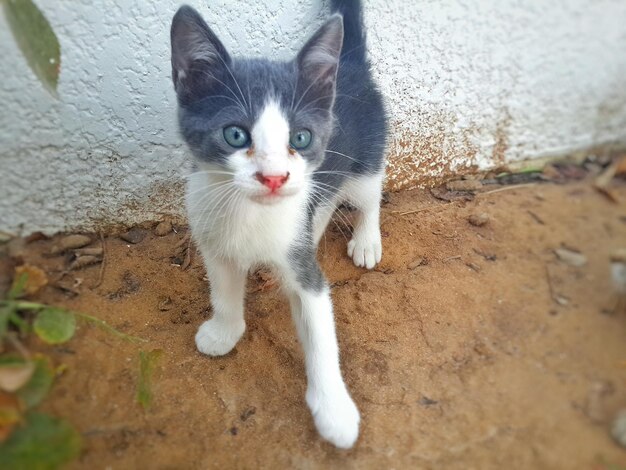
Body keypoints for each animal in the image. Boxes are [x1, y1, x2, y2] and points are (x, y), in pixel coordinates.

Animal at [171, 0, 386, 448]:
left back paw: (367, 240)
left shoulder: (307, 274)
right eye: (235, 135)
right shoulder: (213, 242)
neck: (248, 212)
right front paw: (224, 332)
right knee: (324, 202)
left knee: (369, 195)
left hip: (368, 158)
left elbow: (321, 334)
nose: (274, 178)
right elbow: (223, 291)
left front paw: (335, 412)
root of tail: (349, 64)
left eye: (300, 139)